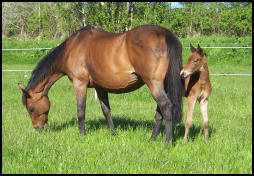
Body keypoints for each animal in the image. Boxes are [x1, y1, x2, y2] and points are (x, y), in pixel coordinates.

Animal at [18, 24, 185, 144]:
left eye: (31, 108)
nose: (39, 129)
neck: (71, 49)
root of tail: (165, 33)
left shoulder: (79, 84)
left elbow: (81, 111)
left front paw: (81, 135)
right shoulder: (100, 87)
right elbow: (106, 111)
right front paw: (113, 133)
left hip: (154, 84)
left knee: (166, 107)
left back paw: (168, 142)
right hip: (162, 85)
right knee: (159, 113)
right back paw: (152, 139)